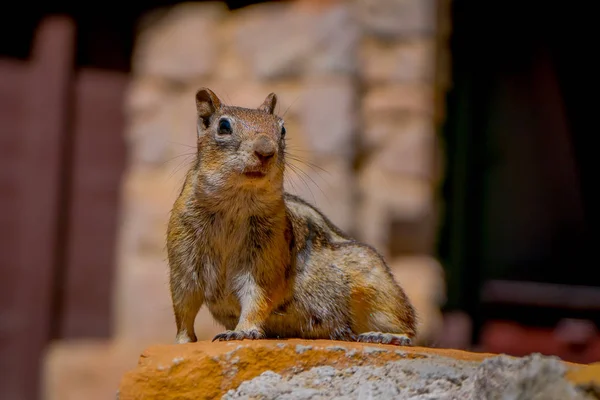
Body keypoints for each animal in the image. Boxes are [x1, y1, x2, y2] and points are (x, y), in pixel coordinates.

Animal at [166, 89, 414, 346]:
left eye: (282, 129)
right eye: (223, 126)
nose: (266, 151)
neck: (235, 202)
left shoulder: (266, 261)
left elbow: (257, 297)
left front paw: (242, 331)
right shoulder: (182, 259)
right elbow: (183, 304)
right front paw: (183, 340)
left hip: (380, 293)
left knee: (408, 328)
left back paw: (385, 335)